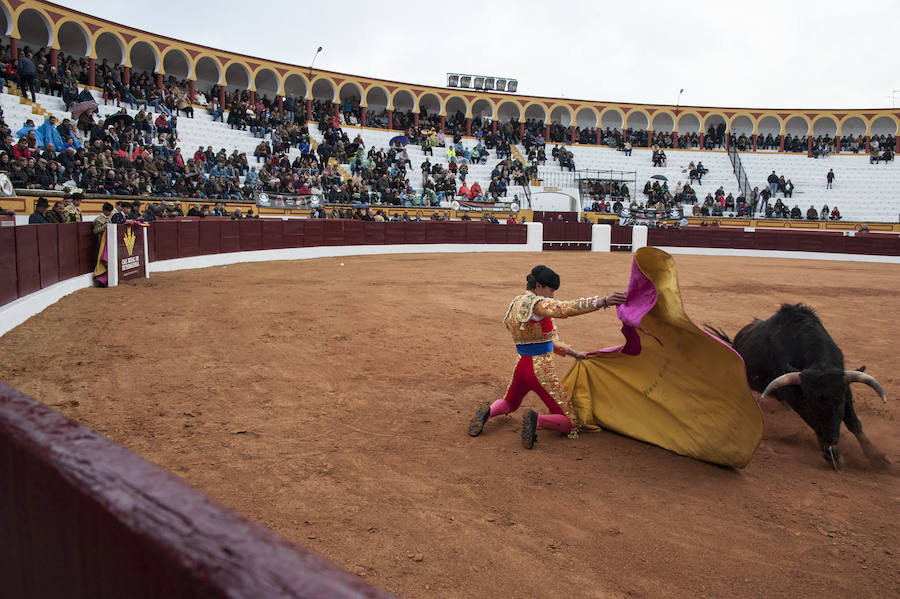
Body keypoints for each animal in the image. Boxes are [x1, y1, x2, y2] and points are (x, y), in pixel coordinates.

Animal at [712, 304, 884, 468]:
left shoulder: (844, 387)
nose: (832, 439)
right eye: (810, 406)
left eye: (839, 403)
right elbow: (812, 422)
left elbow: (853, 422)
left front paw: (877, 457)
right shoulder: (793, 394)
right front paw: (833, 455)